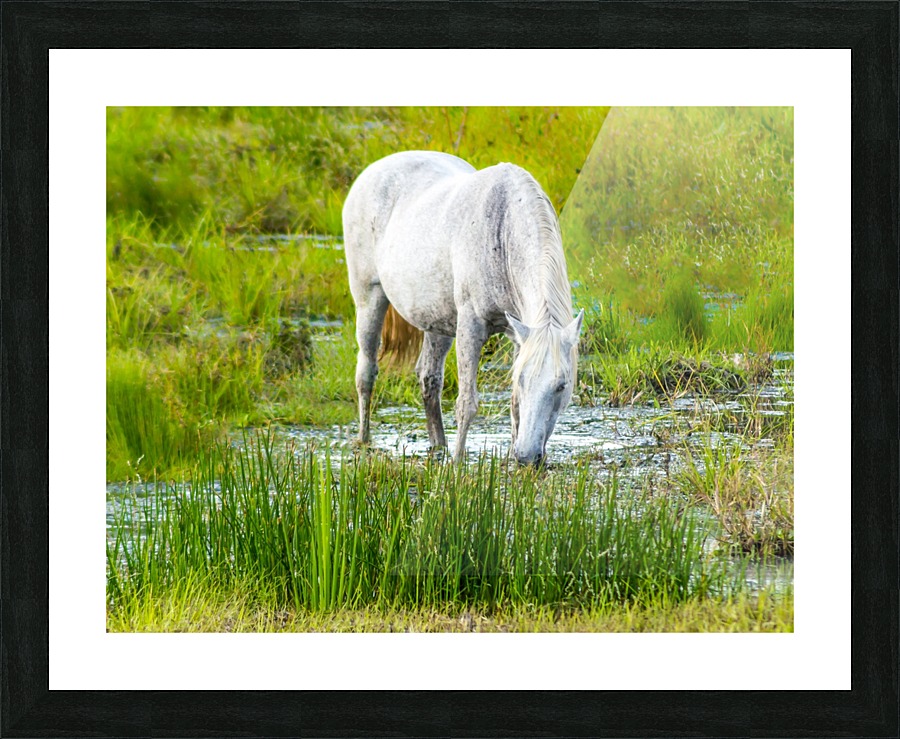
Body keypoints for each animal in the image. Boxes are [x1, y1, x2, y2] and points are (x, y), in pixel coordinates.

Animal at [342, 151, 583, 465]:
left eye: (562, 385)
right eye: (523, 379)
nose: (527, 456)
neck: (502, 230)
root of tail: (372, 170)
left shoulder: (517, 332)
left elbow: (514, 405)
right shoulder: (471, 326)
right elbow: (467, 402)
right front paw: (457, 464)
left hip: (438, 322)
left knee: (428, 379)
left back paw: (438, 446)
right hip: (369, 299)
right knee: (366, 373)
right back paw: (364, 439)